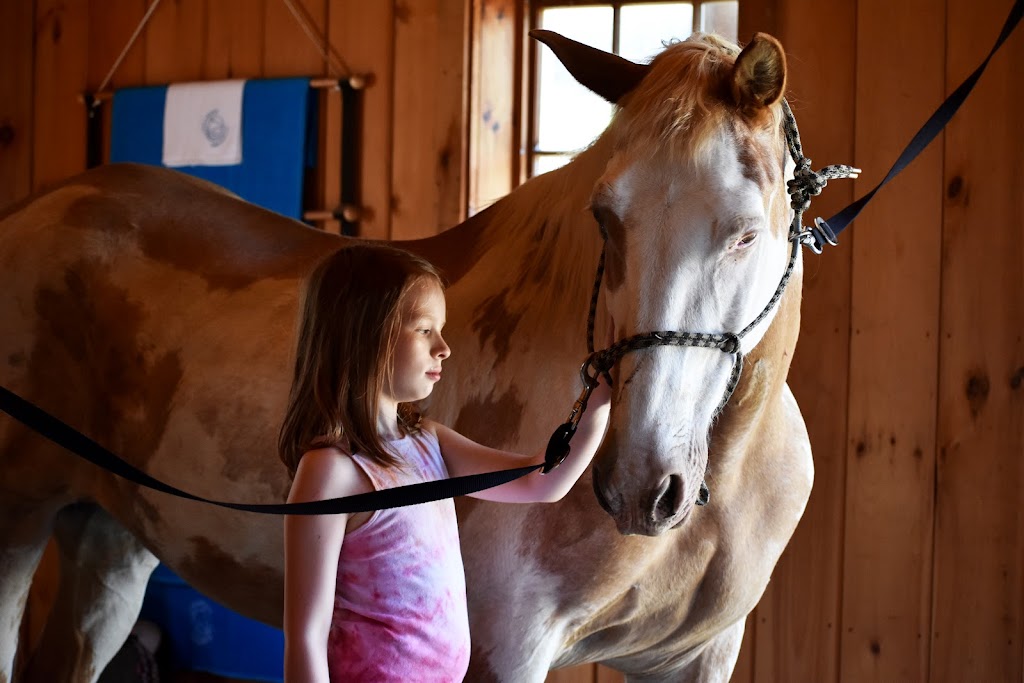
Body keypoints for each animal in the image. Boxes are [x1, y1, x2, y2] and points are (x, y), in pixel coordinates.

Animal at [2, 30, 815, 683]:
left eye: (746, 230)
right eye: (605, 218)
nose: (640, 484)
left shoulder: (692, 660)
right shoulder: (505, 652)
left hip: (106, 542)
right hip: (19, 529)